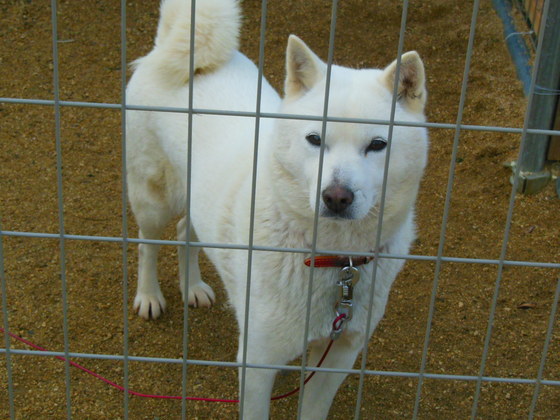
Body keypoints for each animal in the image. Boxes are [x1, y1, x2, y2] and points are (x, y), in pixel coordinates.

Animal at [126, 0, 428, 416]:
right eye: (314, 139)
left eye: (378, 145)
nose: (336, 197)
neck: (333, 259)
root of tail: (171, 48)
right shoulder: (256, 365)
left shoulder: (339, 354)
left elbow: (314, 409)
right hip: (153, 196)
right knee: (148, 242)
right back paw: (149, 296)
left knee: (186, 229)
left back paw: (193, 287)